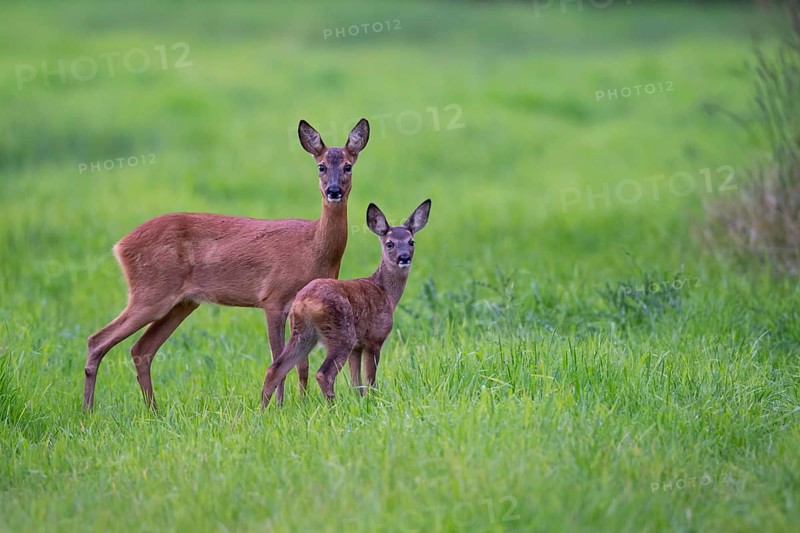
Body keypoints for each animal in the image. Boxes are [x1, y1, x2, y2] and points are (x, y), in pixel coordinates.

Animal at [82, 118, 370, 411]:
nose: (333, 191)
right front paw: (279, 406)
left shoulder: (298, 306)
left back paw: (152, 410)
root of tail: (120, 245)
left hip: (182, 303)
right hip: (151, 293)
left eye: (348, 166)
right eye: (321, 166)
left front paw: (299, 403)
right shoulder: (273, 298)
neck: (312, 247)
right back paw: (89, 410)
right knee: (98, 340)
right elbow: (278, 358)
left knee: (141, 349)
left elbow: (301, 365)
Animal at [261, 199, 431, 407]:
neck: (386, 293)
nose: (404, 257)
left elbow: (356, 381)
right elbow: (370, 380)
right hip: (341, 333)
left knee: (274, 369)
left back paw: (263, 410)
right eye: (389, 243)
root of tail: (304, 301)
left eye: (411, 241)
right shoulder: (374, 338)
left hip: (303, 333)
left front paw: (361, 401)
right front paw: (374, 401)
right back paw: (332, 406)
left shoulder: (357, 347)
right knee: (323, 374)